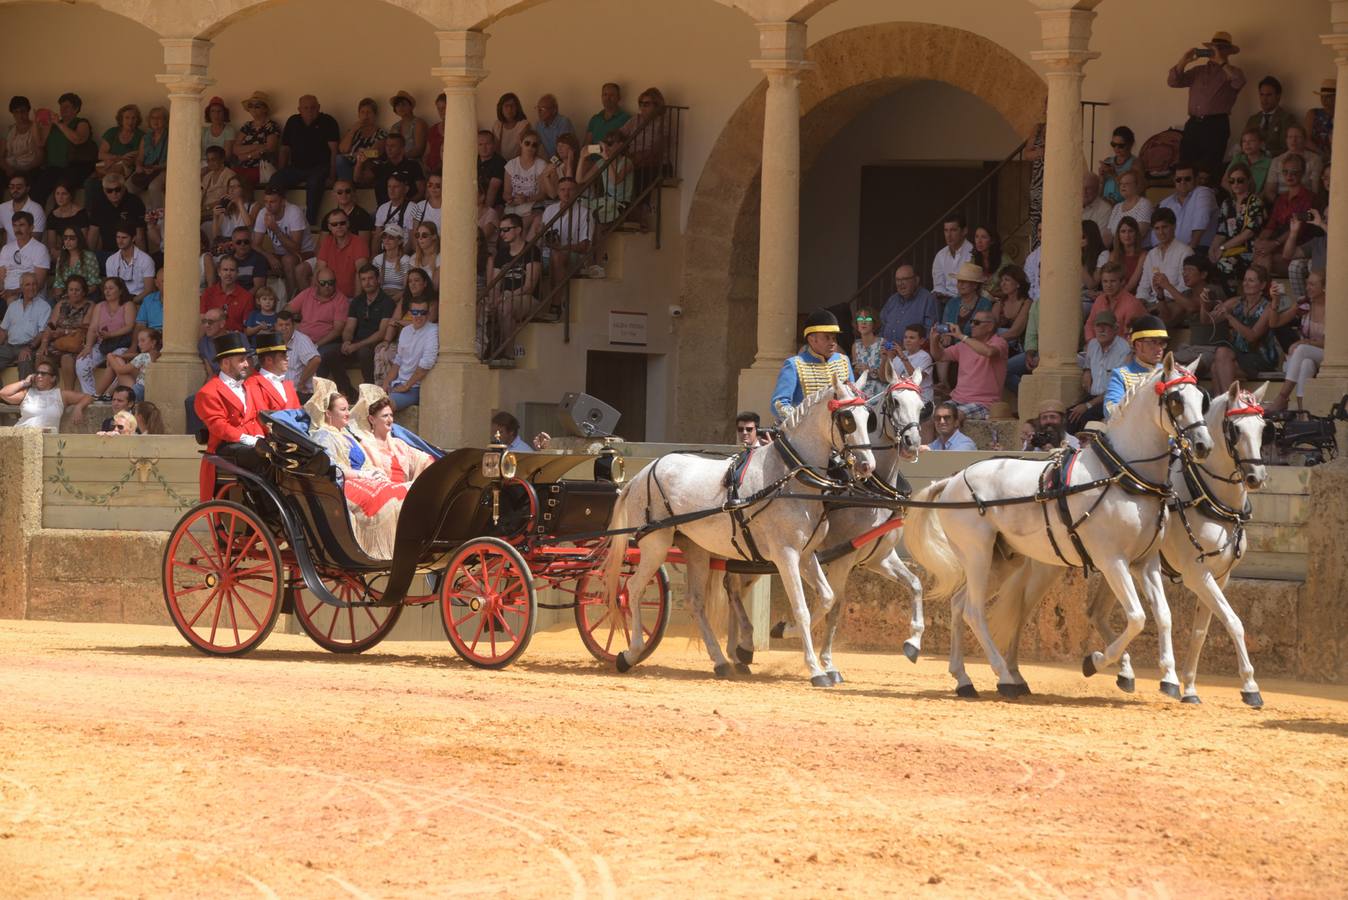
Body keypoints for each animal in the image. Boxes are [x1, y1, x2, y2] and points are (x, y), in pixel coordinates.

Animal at [601, 371, 873, 681]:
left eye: (869, 417)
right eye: (848, 418)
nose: (867, 466)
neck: (787, 477)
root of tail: (640, 474)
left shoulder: (805, 555)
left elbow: (826, 598)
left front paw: (781, 631)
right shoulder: (785, 556)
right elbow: (801, 608)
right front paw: (815, 669)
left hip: (696, 549)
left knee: (695, 602)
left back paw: (720, 660)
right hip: (655, 544)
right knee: (632, 590)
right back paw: (631, 652)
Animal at [722, 366, 932, 681]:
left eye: (922, 407)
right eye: (894, 402)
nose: (911, 445)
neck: (870, 489)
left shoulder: (880, 557)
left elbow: (916, 585)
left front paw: (913, 643)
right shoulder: (842, 560)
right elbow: (833, 607)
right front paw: (822, 659)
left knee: (734, 588)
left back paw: (738, 651)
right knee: (732, 588)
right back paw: (743, 646)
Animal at [905, 355, 1213, 700]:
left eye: (1202, 398)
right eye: (1175, 400)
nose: (1203, 445)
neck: (1122, 474)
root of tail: (952, 480)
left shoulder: (1145, 563)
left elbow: (1163, 616)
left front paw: (1170, 679)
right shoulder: (1112, 561)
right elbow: (1137, 617)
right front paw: (1094, 661)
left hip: (1001, 562)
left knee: (960, 605)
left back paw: (964, 679)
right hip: (977, 555)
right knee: (973, 611)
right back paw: (1005, 677)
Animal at [986, 377, 1267, 700]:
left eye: (1263, 427)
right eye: (1235, 429)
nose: (1256, 476)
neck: (1205, 494)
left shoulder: (1220, 576)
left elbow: (1201, 631)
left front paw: (1190, 687)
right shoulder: (1196, 574)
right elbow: (1233, 621)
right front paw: (1249, 686)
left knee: (1095, 613)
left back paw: (1121, 671)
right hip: (1049, 567)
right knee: (1021, 613)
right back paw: (1014, 675)